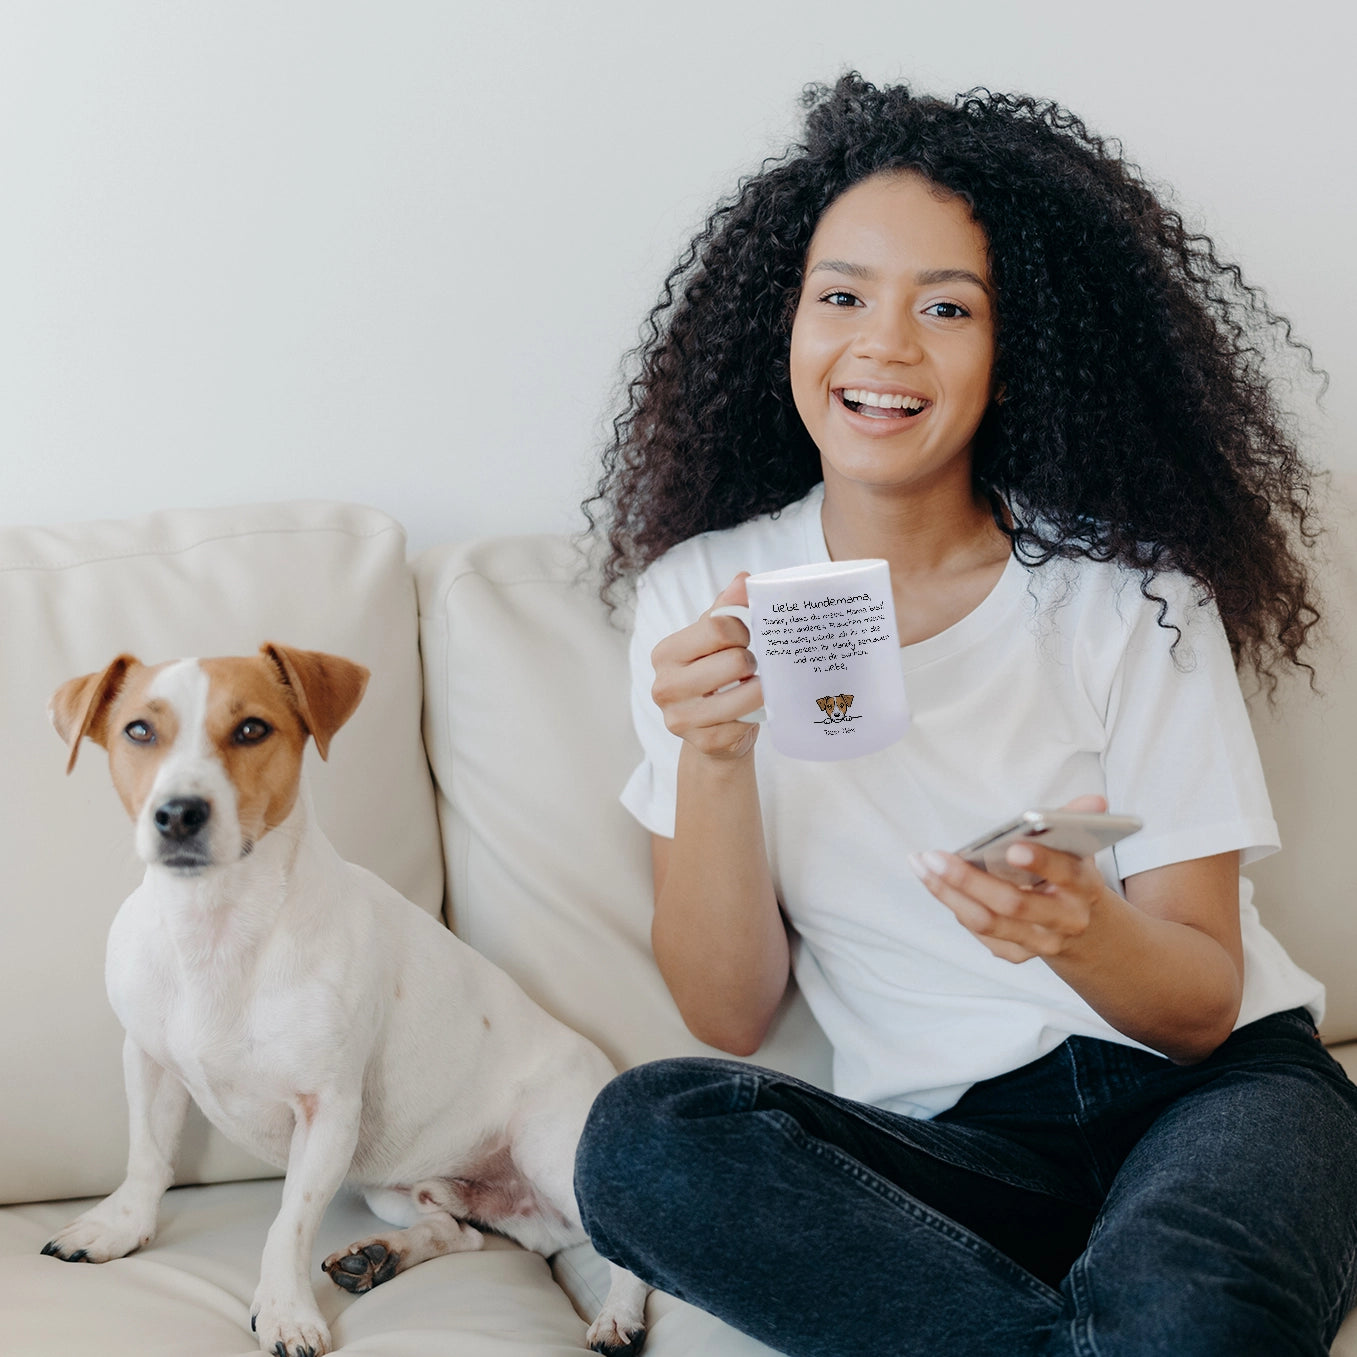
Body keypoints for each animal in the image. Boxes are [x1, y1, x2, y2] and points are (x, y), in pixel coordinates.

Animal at [39, 645, 648, 1357]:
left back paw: (617, 1319)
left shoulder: (327, 1111)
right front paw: (118, 1228)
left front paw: (284, 1311)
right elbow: (146, 1158)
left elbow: (289, 1222)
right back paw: (382, 1254)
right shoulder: (149, 1062)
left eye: (252, 729)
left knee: (624, 1256)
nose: (179, 813)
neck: (217, 928)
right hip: (397, 1189)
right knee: (460, 1231)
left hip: (550, 1155)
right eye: (138, 730)